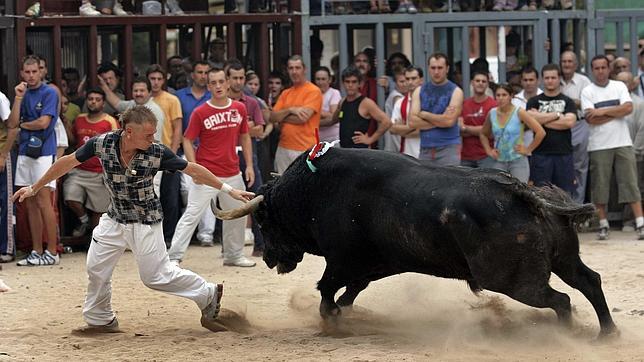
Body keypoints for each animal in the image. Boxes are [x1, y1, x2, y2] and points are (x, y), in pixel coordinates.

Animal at [218, 146, 620, 336]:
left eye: (264, 220)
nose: (270, 258)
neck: (314, 190)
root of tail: (523, 191)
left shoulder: (342, 260)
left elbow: (327, 290)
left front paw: (331, 321)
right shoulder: (373, 265)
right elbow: (350, 291)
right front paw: (344, 314)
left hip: (513, 281)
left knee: (561, 300)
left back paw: (564, 334)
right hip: (563, 259)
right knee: (588, 281)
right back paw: (607, 334)